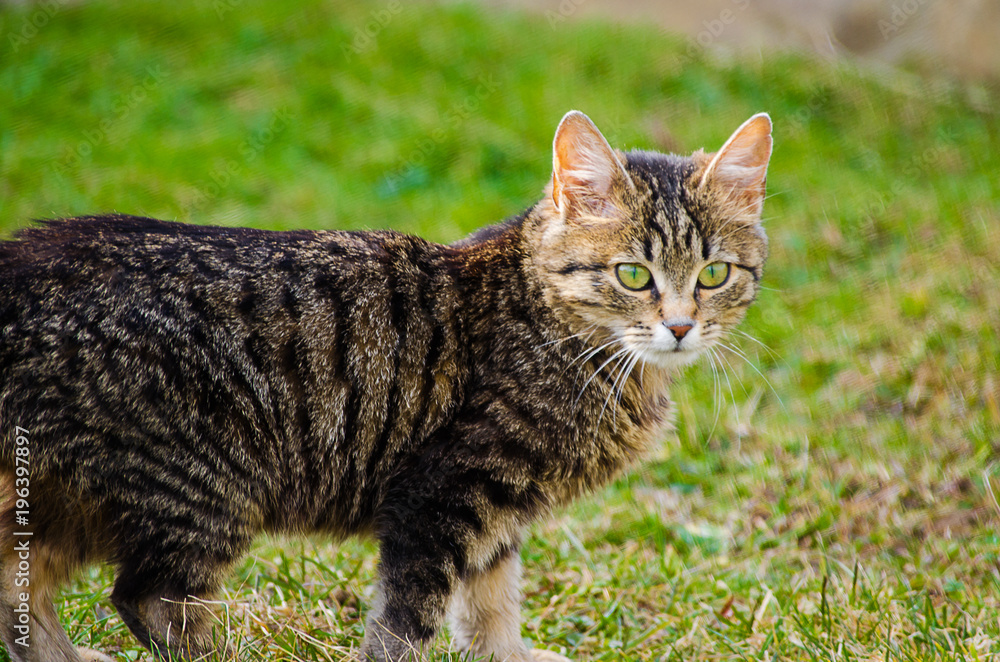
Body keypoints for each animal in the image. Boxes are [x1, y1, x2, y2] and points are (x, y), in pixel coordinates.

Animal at [0, 111, 772, 660]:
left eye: (714, 274)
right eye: (634, 276)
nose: (680, 327)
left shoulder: (496, 508)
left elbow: (493, 601)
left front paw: (509, 653)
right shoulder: (441, 494)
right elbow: (410, 619)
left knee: (24, 586)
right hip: (202, 489)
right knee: (149, 601)